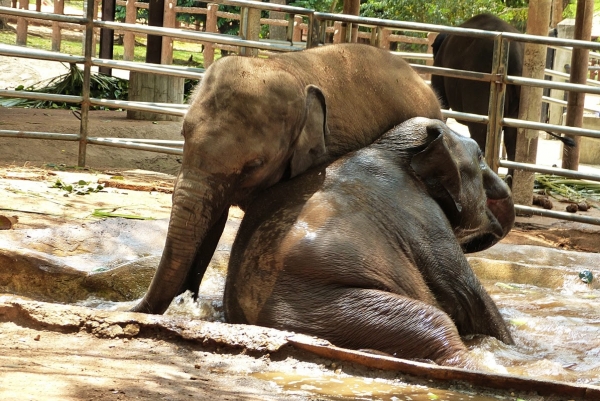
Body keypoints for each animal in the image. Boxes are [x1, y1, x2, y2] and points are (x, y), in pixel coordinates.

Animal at [132, 43, 440, 312]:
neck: (282, 67)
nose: (131, 307)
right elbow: (211, 221)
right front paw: (187, 305)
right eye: (183, 135)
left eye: (254, 165)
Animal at [225, 117, 516, 368]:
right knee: (436, 324)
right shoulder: (422, 216)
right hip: (332, 308)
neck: (389, 148)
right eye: (480, 156)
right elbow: (468, 296)